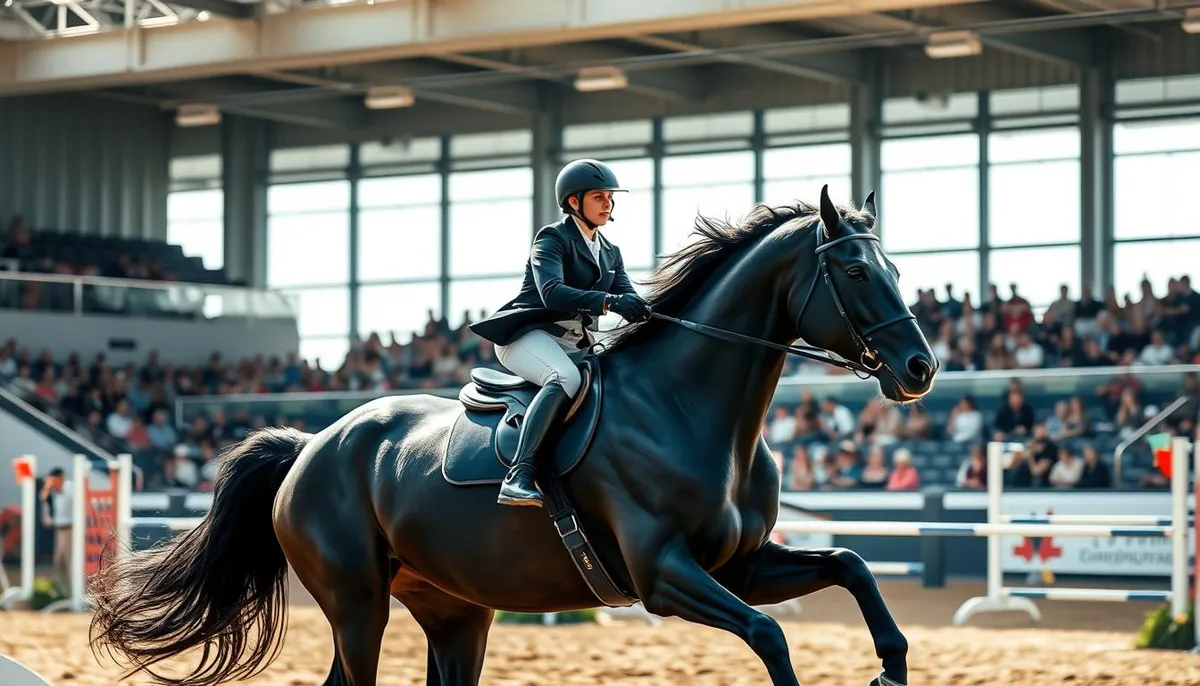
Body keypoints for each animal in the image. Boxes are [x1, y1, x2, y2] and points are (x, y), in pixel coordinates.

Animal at [88, 185, 937, 686]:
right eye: (855, 273)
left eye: (894, 268)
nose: (920, 368)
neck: (689, 409)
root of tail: (311, 447)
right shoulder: (665, 575)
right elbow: (769, 635)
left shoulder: (743, 564)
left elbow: (852, 566)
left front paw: (890, 669)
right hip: (357, 603)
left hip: (454, 609)